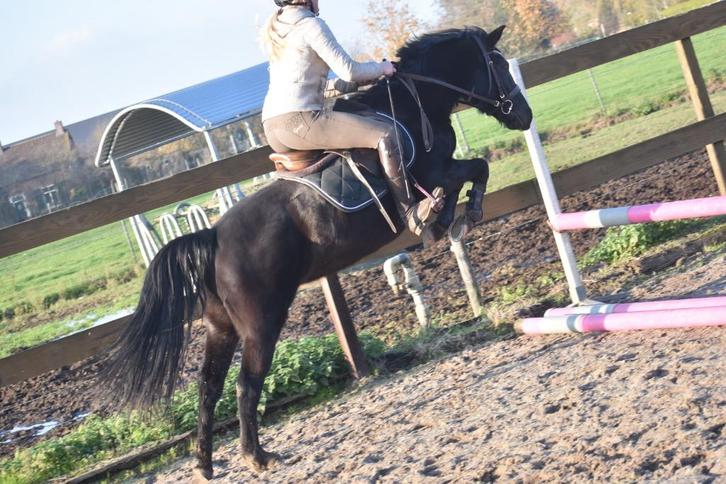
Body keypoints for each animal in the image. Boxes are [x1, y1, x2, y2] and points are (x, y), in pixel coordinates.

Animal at [98, 25, 532, 480]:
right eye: (498, 64)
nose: (525, 116)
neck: (417, 105)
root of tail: (214, 236)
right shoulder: (437, 171)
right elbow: (476, 168)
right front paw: (454, 215)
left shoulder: (441, 173)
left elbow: (473, 171)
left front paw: (449, 218)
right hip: (261, 323)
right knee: (245, 384)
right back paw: (256, 456)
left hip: (221, 327)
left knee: (208, 387)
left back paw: (204, 463)